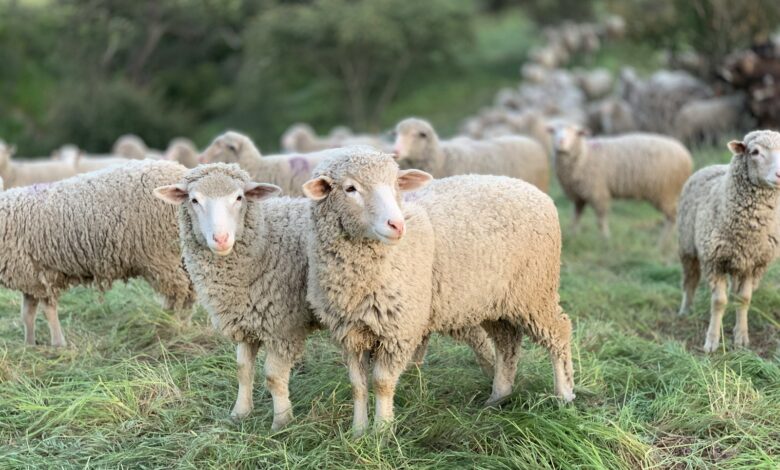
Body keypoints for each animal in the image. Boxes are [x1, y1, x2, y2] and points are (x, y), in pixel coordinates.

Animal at [0, 160, 195, 347]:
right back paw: (180, 324)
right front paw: (29, 345)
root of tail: (181, 171)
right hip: (179, 256)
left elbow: (48, 311)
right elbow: (27, 314)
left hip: (162, 256)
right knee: (189, 290)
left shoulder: (41, 275)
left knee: (179, 292)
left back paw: (172, 326)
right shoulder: (29, 275)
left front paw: (57, 344)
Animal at [154, 162, 496, 430]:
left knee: (480, 340)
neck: (264, 241)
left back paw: (493, 382)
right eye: (194, 200)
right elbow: (242, 370)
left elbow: (273, 377)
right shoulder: (245, 321)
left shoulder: (283, 325)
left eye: (239, 198)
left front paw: (282, 422)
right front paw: (240, 413)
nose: (221, 239)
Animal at [303, 150, 574, 435]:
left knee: (559, 332)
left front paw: (382, 432)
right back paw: (498, 396)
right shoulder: (349, 333)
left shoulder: (399, 329)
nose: (397, 225)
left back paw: (564, 395)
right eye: (350, 189)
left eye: (396, 184)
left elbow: (382, 383)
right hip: (494, 300)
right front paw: (357, 432)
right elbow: (358, 385)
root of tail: (534, 191)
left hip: (535, 291)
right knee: (507, 342)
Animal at [549, 123, 693, 239]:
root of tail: (687, 156)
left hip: (665, 192)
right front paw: (573, 235)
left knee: (673, 217)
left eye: (575, 132)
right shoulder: (579, 196)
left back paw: (663, 244)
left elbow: (601, 219)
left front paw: (605, 237)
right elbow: (576, 217)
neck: (584, 156)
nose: (560, 141)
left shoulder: (598, 192)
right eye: (554, 131)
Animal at [677, 131, 780, 352]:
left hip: (737, 261)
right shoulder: (713, 260)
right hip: (687, 246)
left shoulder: (753, 263)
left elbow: (744, 298)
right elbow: (718, 302)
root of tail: (713, 165)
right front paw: (712, 341)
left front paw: (741, 337)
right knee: (690, 280)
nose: (779, 175)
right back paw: (685, 310)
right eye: (754, 152)